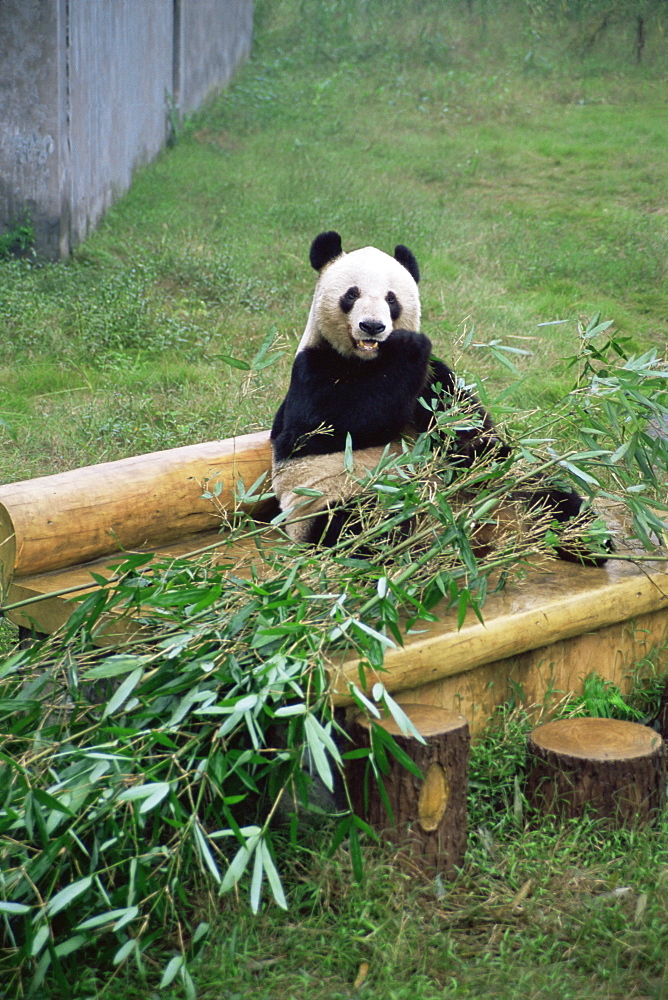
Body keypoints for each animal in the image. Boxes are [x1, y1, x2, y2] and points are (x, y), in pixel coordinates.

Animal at [268, 230, 608, 568]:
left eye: (391, 299)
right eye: (351, 294)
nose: (372, 326)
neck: (369, 360)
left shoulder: (432, 382)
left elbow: (464, 424)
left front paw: (481, 446)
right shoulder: (313, 368)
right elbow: (328, 425)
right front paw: (405, 347)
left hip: (509, 490)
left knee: (546, 496)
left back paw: (590, 543)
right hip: (337, 499)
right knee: (365, 528)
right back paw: (420, 556)